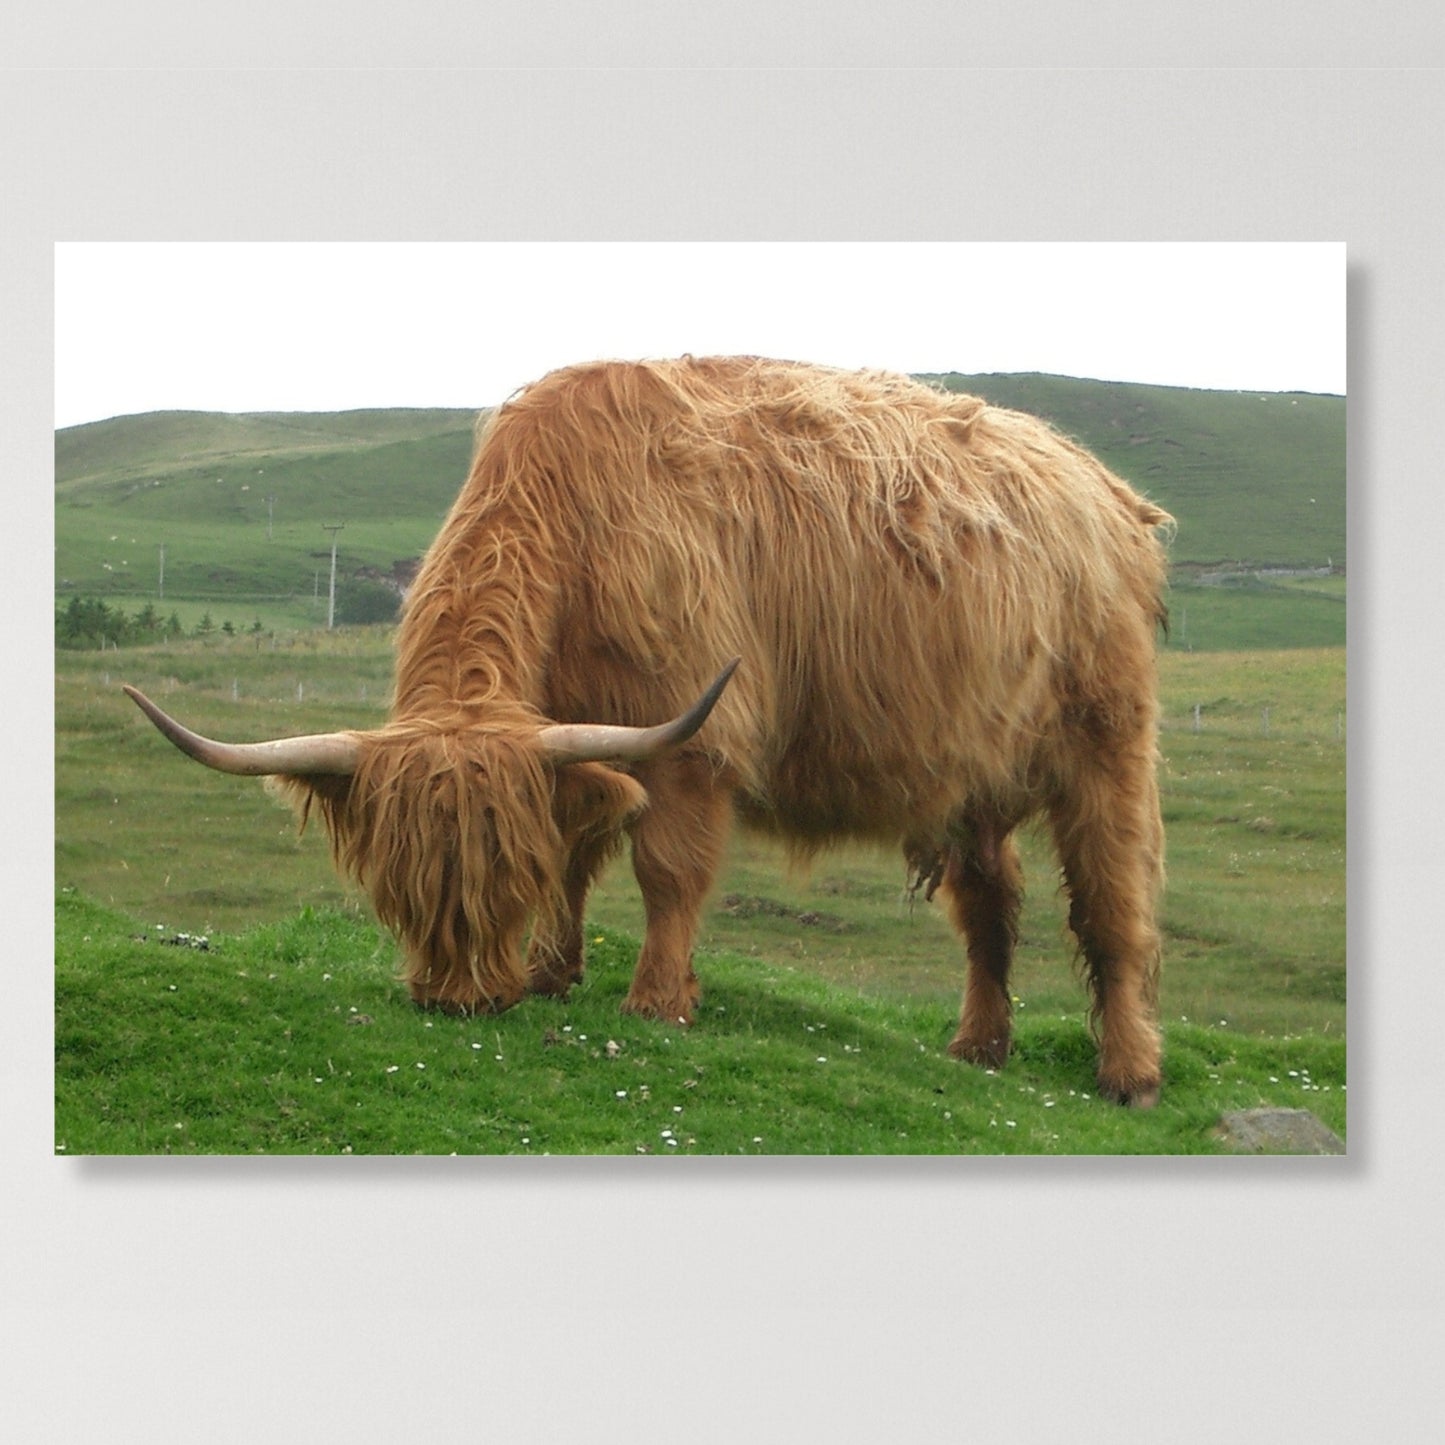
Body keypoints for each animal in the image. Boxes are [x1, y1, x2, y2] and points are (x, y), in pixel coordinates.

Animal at [125, 356, 1174, 1106]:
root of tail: (1102, 487)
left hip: (1106, 740)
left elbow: (666, 870)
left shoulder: (688, 738)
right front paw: (552, 971)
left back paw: (1129, 1072)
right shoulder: (577, 737)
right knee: (990, 899)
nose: (460, 998)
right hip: (973, 766)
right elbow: (577, 853)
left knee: (1110, 905)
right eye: (399, 883)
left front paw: (657, 1000)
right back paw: (976, 1046)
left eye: (498, 875)